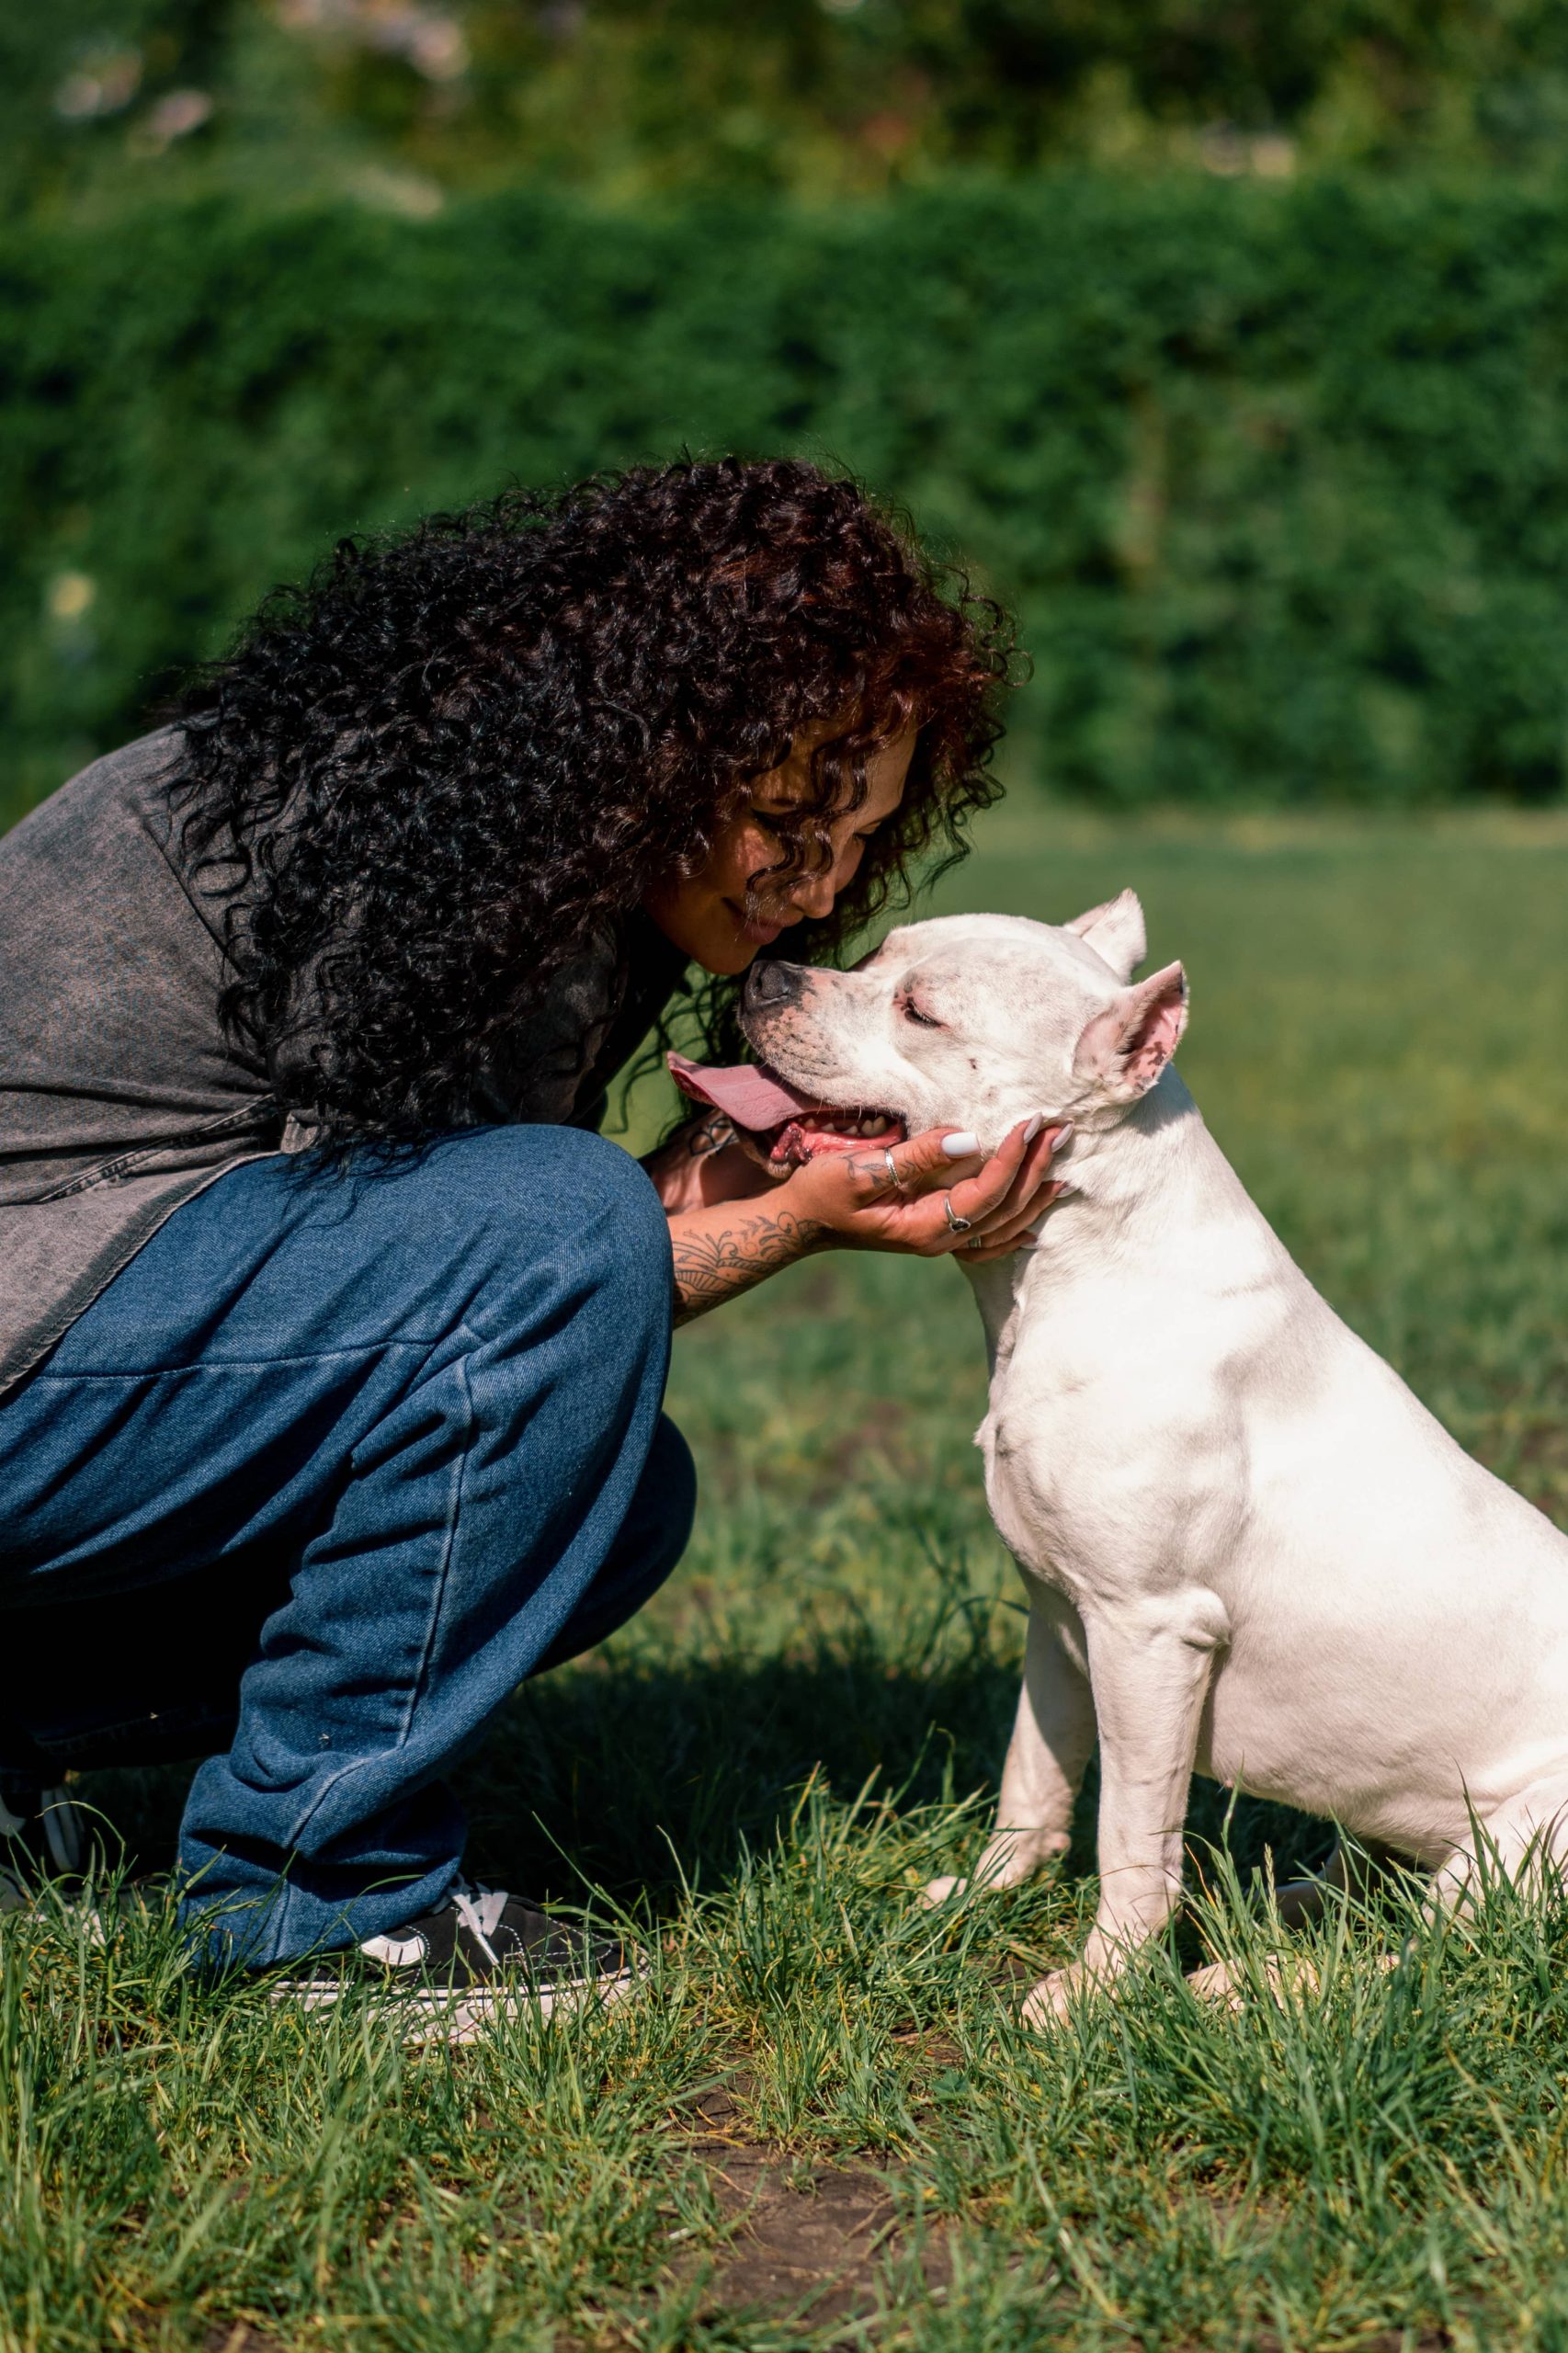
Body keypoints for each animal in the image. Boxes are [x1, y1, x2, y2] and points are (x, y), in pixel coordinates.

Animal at [715, 898, 1562, 2023]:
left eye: (919, 1010)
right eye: (877, 954)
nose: (767, 973)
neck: (1078, 1267)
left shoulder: (1150, 1631)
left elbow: (1130, 1832)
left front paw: (1095, 1988)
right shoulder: (1057, 1616)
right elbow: (1031, 1779)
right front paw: (982, 1896)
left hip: (1523, 1843)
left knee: (1431, 1955)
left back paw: (1252, 1983)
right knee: (1390, 1895)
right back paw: (1290, 1906)